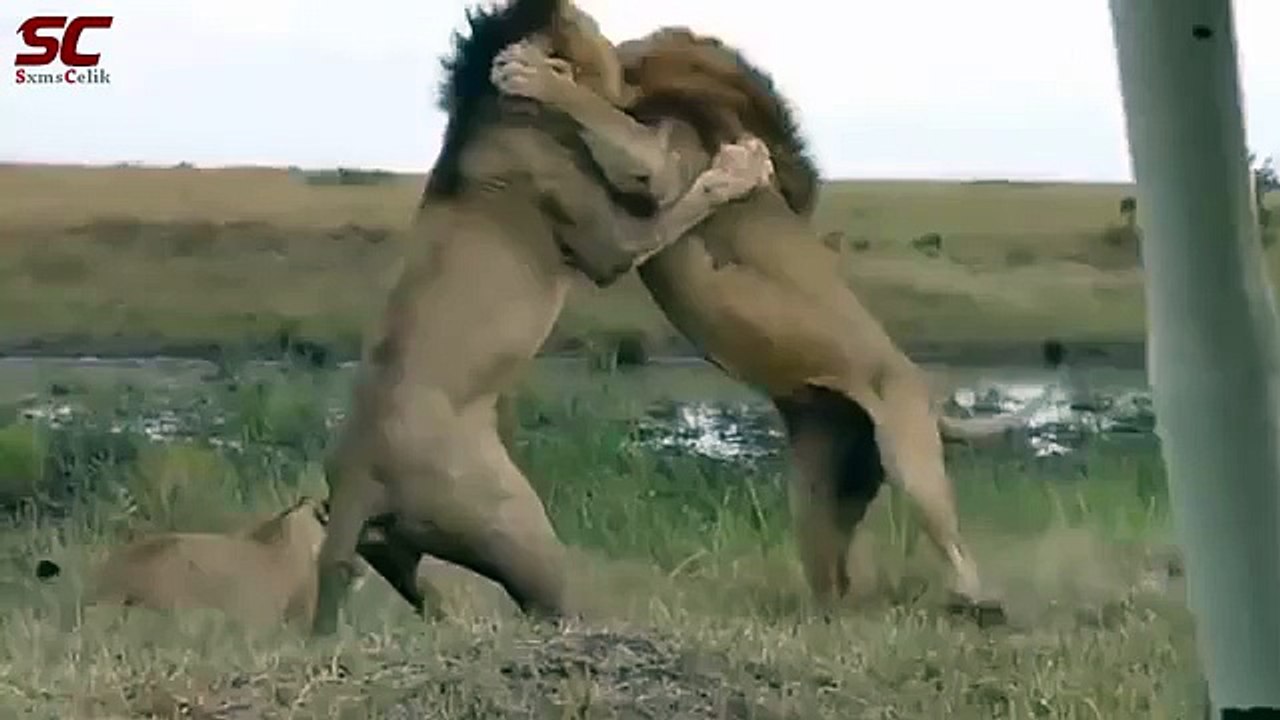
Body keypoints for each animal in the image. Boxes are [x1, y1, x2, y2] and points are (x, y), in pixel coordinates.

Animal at [311, 0, 777, 635]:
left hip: (394, 542)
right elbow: (671, 183)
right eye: (601, 36)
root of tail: (355, 480)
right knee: (546, 605)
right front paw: (740, 166)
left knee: (397, 567)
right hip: (521, 535)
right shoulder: (613, 240)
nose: (631, 56)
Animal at [495, 28, 1005, 620]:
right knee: (837, 580)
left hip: (911, 462)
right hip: (815, 495)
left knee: (957, 549)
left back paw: (974, 603)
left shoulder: (661, 160)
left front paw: (534, 74)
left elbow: (596, 111)